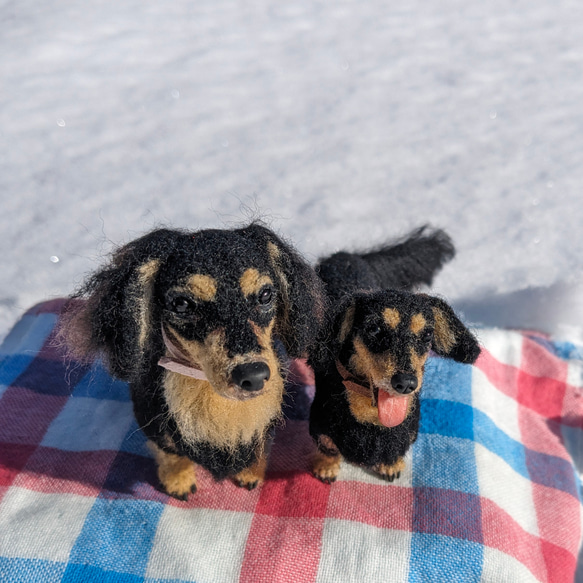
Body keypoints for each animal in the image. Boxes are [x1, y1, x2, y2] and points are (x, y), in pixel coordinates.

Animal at [64, 226, 328, 500]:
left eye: (265, 295)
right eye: (181, 303)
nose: (254, 376)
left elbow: (260, 445)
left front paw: (250, 473)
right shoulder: (153, 421)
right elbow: (171, 454)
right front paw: (178, 481)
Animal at [308, 228, 482, 484]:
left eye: (427, 334)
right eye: (374, 328)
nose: (405, 383)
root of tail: (345, 256)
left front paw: (391, 465)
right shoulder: (320, 425)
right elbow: (327, 448)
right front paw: (326, 467)